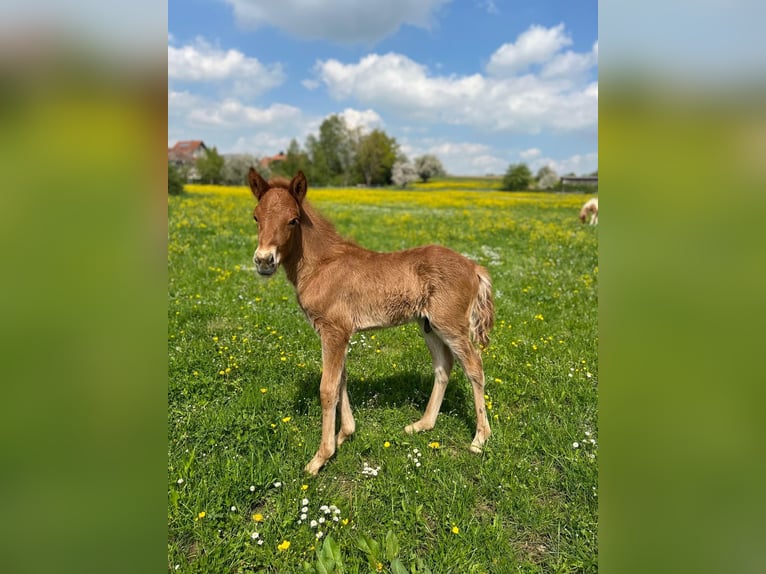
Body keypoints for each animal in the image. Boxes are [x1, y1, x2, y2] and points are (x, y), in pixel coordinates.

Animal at [248, 169, 494, 475]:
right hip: (429, 326)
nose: (264, 261)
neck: (321, 264)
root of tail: (474, 267)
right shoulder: (338, 333)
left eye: (293, 220)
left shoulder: (334, 331)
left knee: (474, 366)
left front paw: (320, 457)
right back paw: (422, 425)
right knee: (443, 366)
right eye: (256, 217)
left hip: (451, 325)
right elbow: (340, 380)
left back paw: (480, 439)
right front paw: (344, 435)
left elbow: (327, 388)